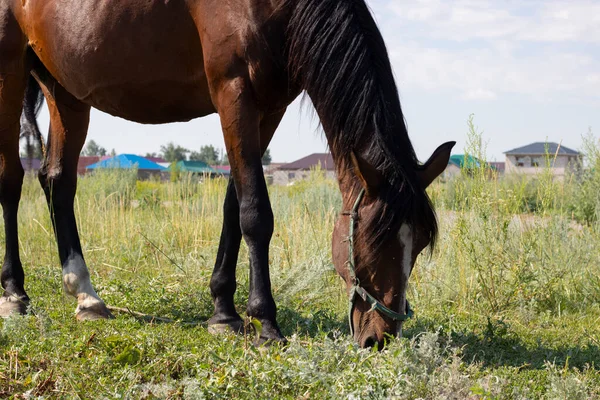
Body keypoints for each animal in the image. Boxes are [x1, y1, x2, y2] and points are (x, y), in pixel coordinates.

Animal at [0, 0, 450, 348]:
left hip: (63, 89)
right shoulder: (233, 93)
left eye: (419, 244)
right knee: (11, 180)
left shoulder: (268, 108)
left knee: (58, 181)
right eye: (372, 241)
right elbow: (256, 213)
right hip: (10, 72)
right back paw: (15, 293)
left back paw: (85, 295)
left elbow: (234, 207)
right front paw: (265, 322)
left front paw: (224, 312)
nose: (380, 338)